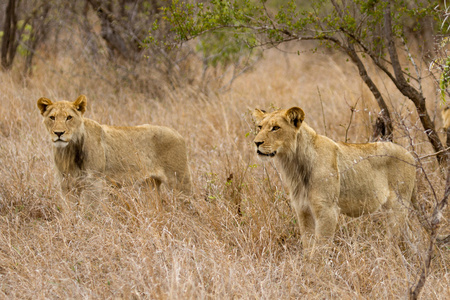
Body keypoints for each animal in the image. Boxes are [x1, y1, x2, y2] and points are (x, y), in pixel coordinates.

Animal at [38, 95, 192, 199]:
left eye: (69, 117)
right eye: (52, 118)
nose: (59, 133)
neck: (67, 152)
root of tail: (178, 133)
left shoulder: (94, 183)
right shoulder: (65, 185)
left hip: (180, 182)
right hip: (150, 185)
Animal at [255, 106, 416, 245]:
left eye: (276, 128)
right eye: (260, 127)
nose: (256, 142)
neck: (294, 164)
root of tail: (409, 154)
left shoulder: (327, 210)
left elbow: (320, 248)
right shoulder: (303, 210)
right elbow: (308, 245)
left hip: (398, 206)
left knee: (395, 239)